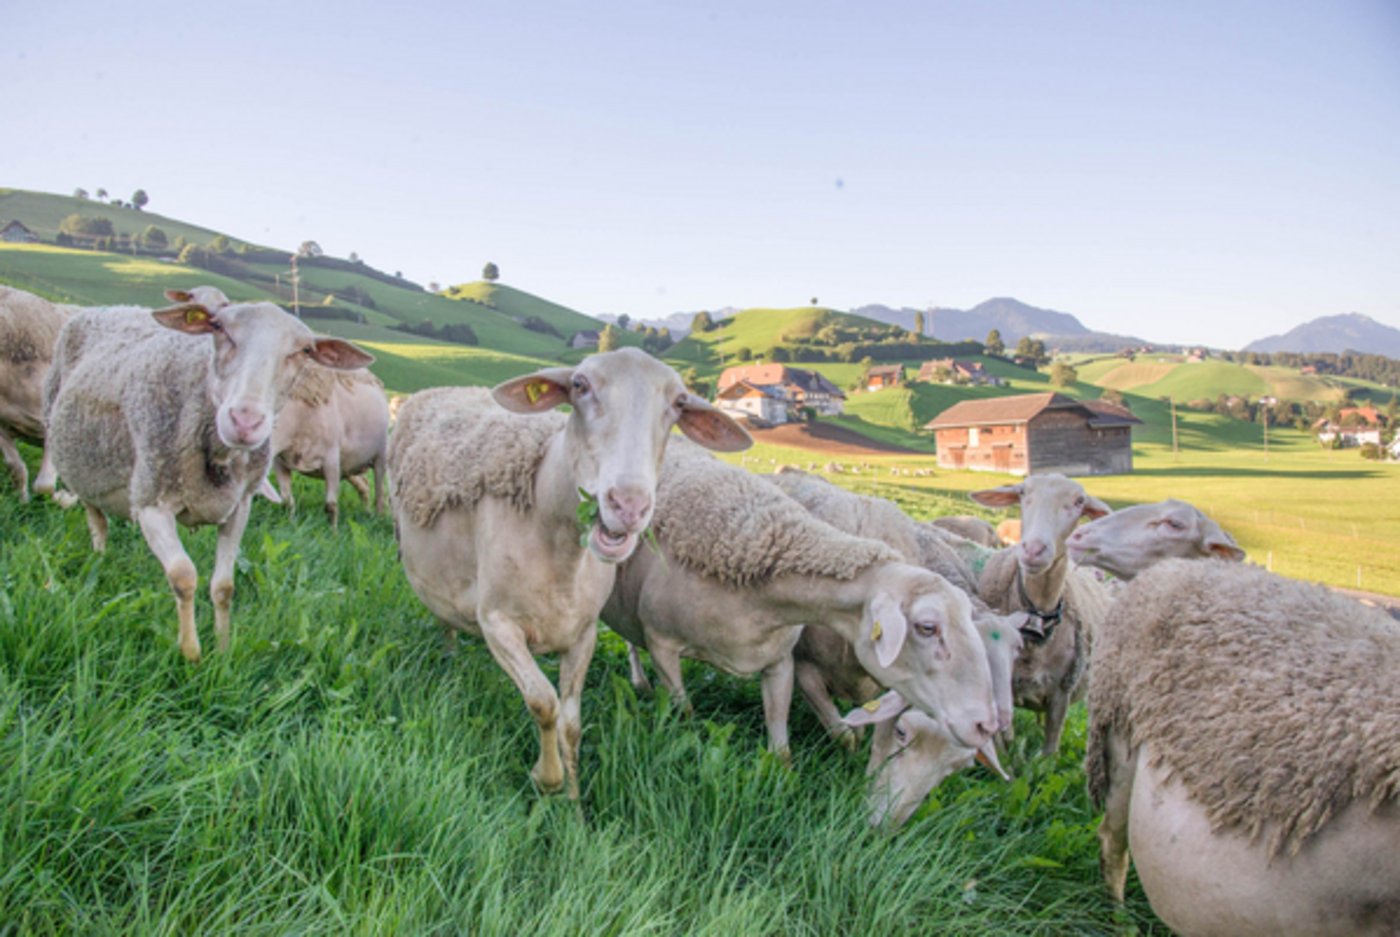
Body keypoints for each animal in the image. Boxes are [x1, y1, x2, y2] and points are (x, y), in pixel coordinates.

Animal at [44, 291, 371, 662]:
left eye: (304, 351)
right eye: (218, 327)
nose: (245, 421)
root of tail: (116, 307)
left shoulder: (239, 508)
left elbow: (224, 586)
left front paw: (223, 647)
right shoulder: (150, 505)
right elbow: (184, 576)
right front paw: (192, 654)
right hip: (75, 456)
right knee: (95, 516)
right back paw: (99, 555)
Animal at [270, 362, 389, 527]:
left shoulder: (331, 459)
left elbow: (330, 505)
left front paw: (333, 531)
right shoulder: (280, 460)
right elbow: (287, 500)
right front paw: (290, 523)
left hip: (380, 455)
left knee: (380, 493)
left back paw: (378, 519)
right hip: (349, 463)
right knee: (364, 485)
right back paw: (367, 513)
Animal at [388, 349, 751, 799]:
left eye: (680, 403)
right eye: (579, 385)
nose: (628, 505)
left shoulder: (584, 633)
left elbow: (571, 723)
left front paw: (574, 802)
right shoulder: (497, 623)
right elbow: (544, 702)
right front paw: (548, 779)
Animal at [603, 442, 999, 763]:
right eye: (927, 627)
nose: (986, 726)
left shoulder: (780, 663)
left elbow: (785, 742)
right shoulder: (663, 644)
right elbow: (683, 712)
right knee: (629, 640)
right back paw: (639, 681)